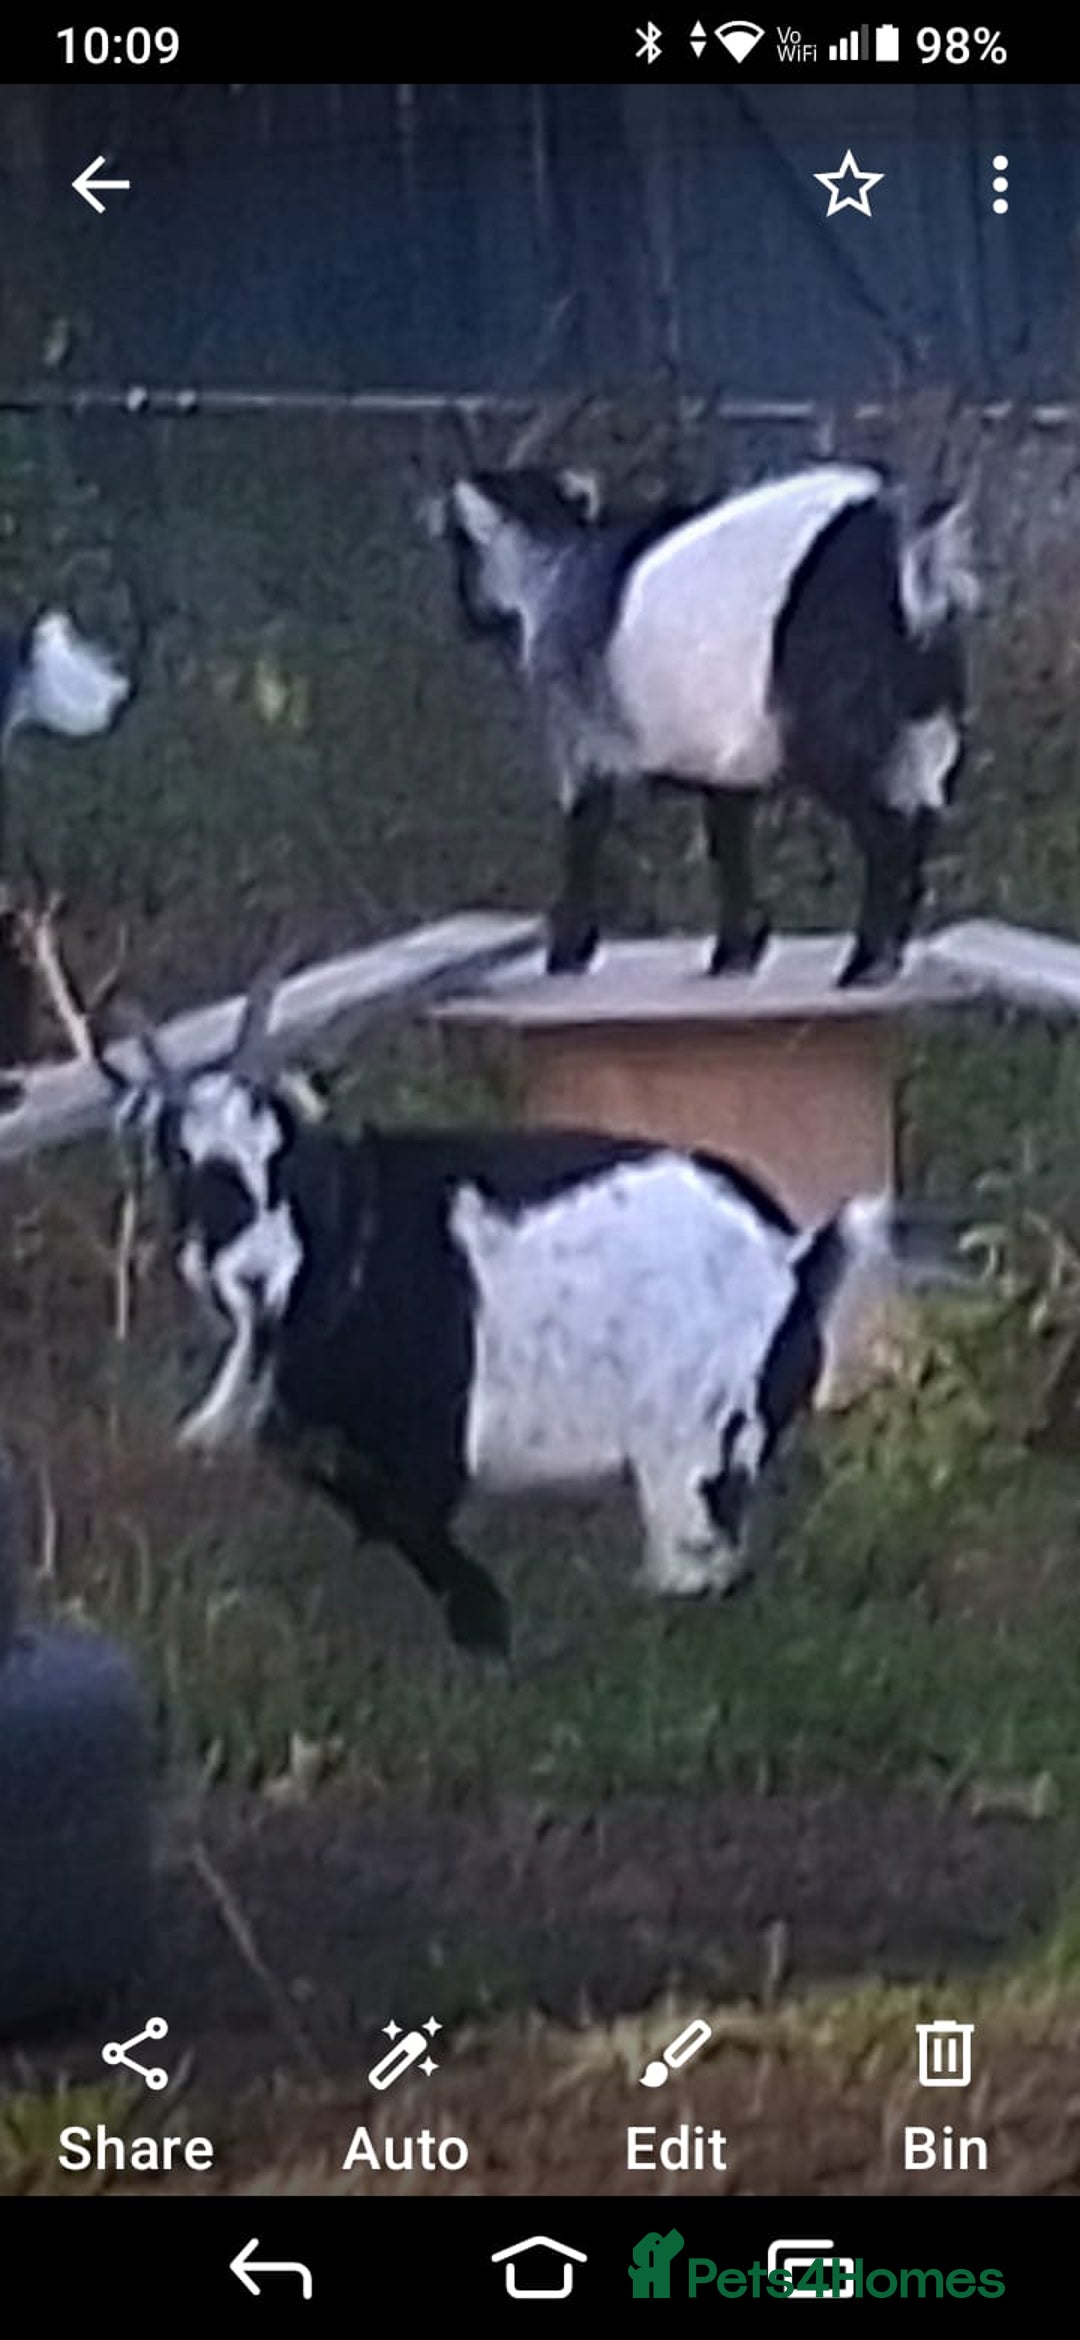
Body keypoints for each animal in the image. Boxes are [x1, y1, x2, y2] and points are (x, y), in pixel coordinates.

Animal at [93, 971, 959, 1659]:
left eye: (282, 1153)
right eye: (182, 1161)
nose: (255, 1277)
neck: (345, 1243)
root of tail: (793, 1254)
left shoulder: (426, 1450)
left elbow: (425, 1539)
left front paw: (490, 1648)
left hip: (692, 1442)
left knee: (697, 1575)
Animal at [426, 459, 980, 988]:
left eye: (461, 544)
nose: (466, 617)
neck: (556, 570)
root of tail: (903, 542)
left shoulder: (581, 734)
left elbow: (585, 830)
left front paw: (568, 953)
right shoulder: (728, 754)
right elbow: (728, 838)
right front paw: (736, 952)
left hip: (835, 726)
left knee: (887, 829)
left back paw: (866, 964)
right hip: (921, 724)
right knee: (919, 817)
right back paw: (890, 953)